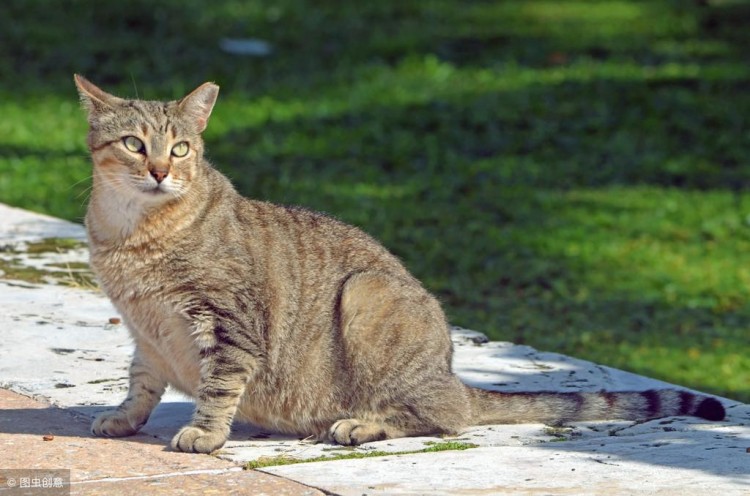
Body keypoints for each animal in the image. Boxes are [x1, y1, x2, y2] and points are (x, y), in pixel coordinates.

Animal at [73, 73, 724, 454]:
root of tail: (454, 377)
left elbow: (219, 384)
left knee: (444, 417)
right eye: (134, 144)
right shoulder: (147, 332)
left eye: (181, 148)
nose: (161, 170)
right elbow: (140, 383)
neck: (131, 234)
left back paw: (362, 424)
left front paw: (205, 434)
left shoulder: (229, 322)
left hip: (368, 295)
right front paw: (124, 419)